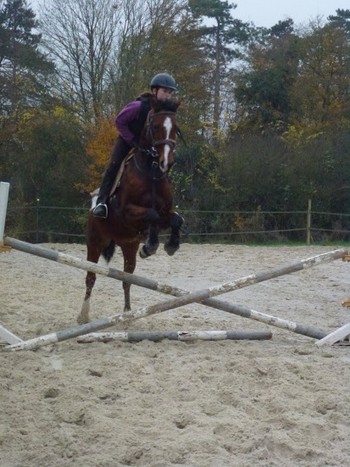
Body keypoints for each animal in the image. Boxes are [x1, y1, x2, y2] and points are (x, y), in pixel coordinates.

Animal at [77, 98, 183, 326]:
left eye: (175, 128)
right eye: (155, 126)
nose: (166, 162)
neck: (151, 172)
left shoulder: (164, 214)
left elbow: (176, 219)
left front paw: (170, 245)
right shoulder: (128, 213)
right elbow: (152, 215)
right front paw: (151, 246)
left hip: (128, 245)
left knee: (127, 278)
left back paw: (127, 314)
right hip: (94, 242)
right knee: (91, 277)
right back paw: (83, 316)